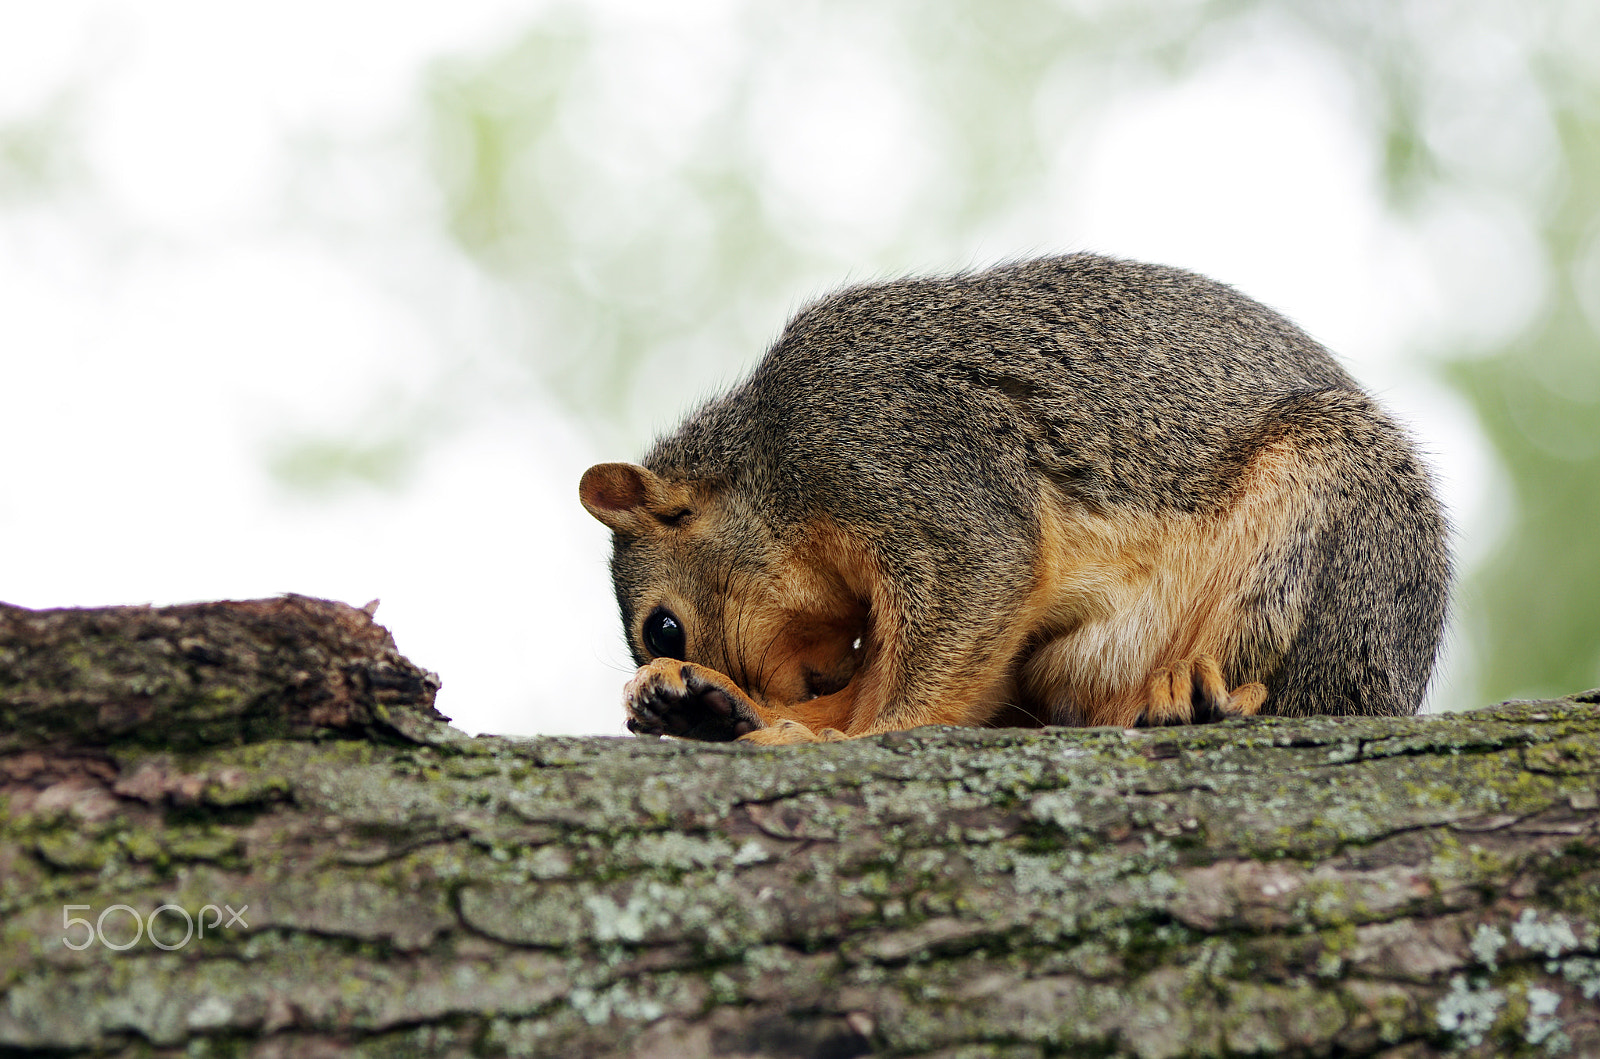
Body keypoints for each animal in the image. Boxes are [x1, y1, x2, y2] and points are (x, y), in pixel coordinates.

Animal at [576, 254, 1452, 745]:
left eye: (662, 626)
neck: (773, 467)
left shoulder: (904, 460)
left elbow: (959, 615)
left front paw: (824, 739)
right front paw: (763, 714)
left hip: (1328, 524)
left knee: (1299, 684)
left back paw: (1197, 698)